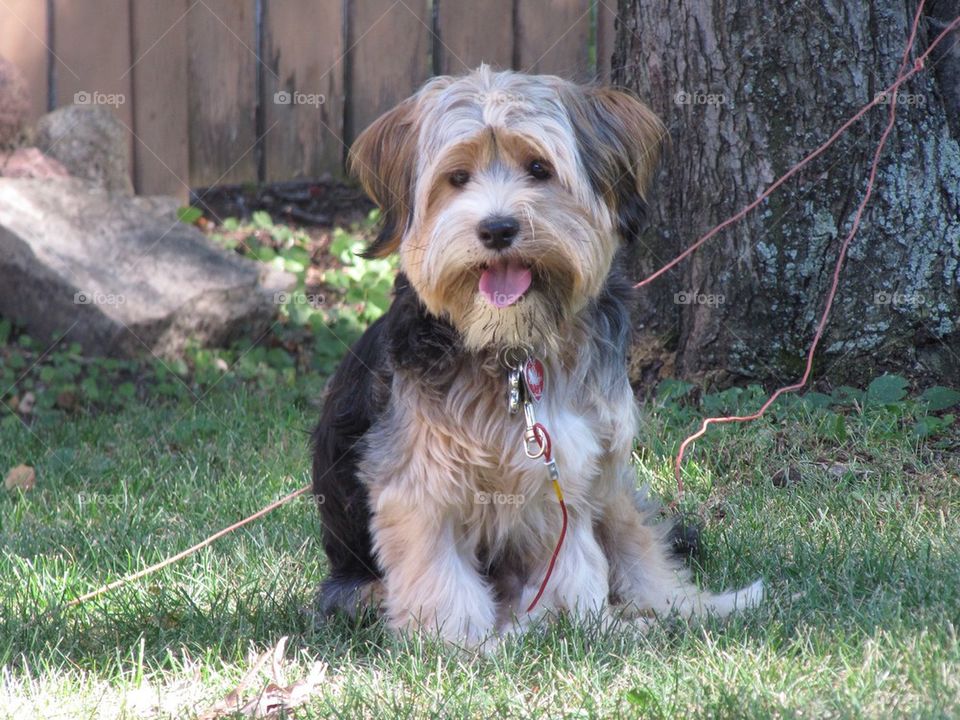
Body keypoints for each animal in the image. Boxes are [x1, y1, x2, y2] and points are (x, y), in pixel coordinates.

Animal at [312, 66, 760, 648]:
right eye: (457, 178)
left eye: (539, 168)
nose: (498, 228)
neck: (513, 348)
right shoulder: (419, 483)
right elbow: (442, 575)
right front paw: (462, 646)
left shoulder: (568, 475)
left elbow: (580, 565)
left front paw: (590, 627)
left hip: (613, 482)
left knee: (640, 547)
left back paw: (689, 607)